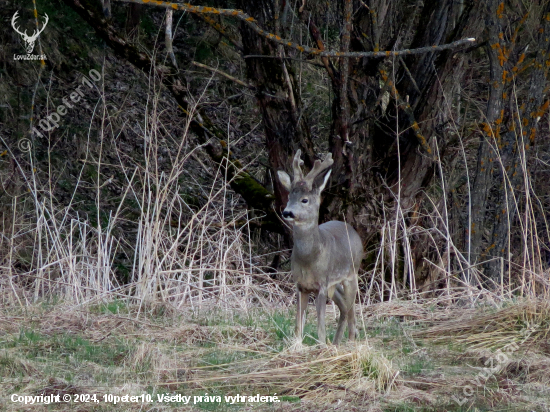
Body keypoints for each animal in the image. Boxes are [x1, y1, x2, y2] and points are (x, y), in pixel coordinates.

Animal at [278, 150, 364, 344]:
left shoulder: (322, 284)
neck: (310, 258)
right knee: (344, 308)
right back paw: (337, 343)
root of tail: (351, 229)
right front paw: (297, 345)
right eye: (289, 197)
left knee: (351, 310)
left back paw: (351, 342)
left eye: (304, 200)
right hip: (336, 284)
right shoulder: (300, 285)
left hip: (352, 274)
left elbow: (321, 327)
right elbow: (298, 325)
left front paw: (321, 345)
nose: (287, 212)